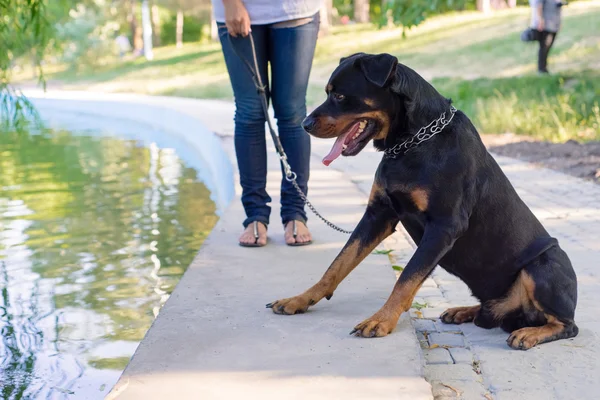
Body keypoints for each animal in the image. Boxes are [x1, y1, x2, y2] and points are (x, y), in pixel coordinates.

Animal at [266, 53, 576, 350]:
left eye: (340, 96)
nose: (305, 124)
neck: (412, 142)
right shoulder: (378, 215)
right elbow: (337, 264)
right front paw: (300, 299)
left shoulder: (443, 226)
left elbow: (406, 279)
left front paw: (380, 320)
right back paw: (465, 311)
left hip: (543, 264)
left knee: (567, 325)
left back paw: (529, 334)